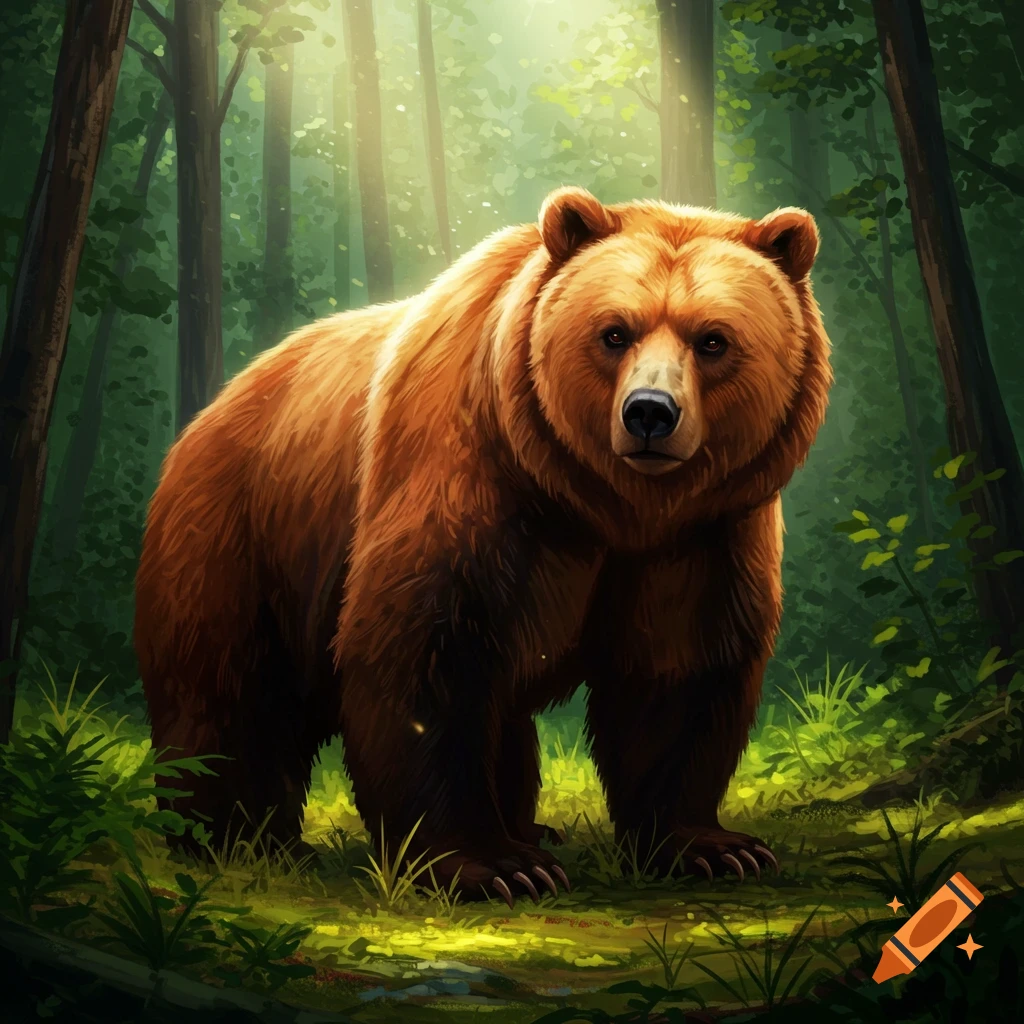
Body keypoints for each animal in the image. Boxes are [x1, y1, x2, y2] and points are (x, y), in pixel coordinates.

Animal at [135, 186, 831, 904]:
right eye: (614, 331)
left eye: (713, 339)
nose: (649, 412)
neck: (609, 505)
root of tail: (211, 411)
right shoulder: (471, 473)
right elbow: (428, 651)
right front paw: (490, 865)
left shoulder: (705, 530)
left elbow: (681, 667)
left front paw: (712, 847)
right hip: (241, 537)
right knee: (230, 692)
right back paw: (236, 838)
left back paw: (531, 827)